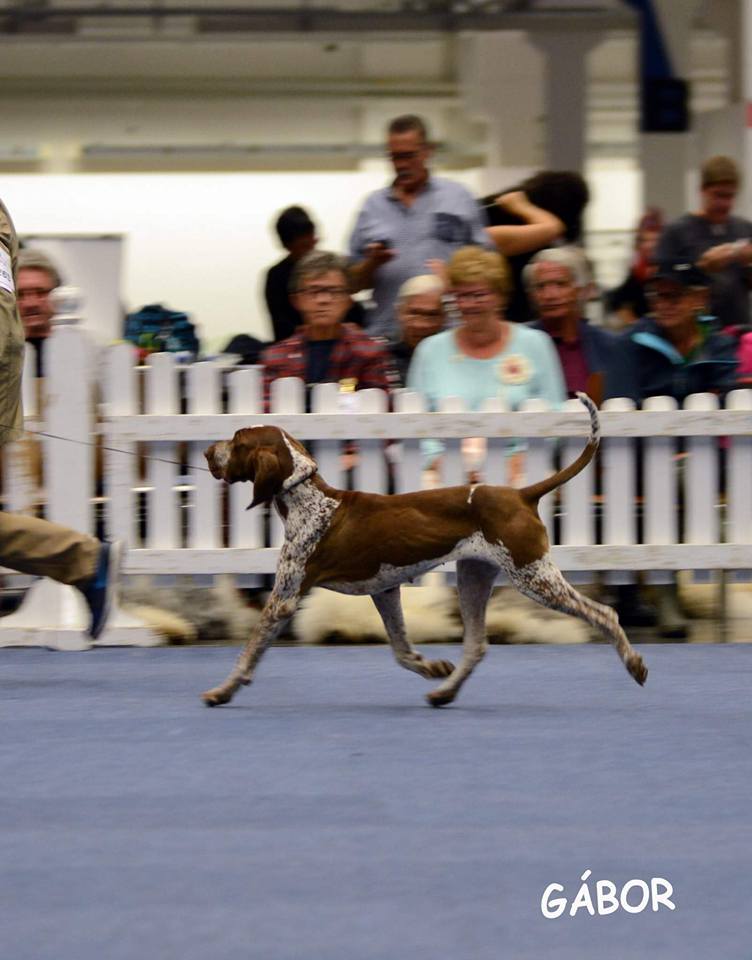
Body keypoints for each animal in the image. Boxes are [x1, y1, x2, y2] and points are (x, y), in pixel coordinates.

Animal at [204, 392, 648, 704]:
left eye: (236, 441)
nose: (208, 451)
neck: (309, 499)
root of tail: (522, 494)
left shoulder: (284, 599)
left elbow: (248, 652)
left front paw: (223, 690)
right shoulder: (385, 590)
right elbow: (401, 651)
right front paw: (431, 667)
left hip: (534, 578)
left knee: (604, 614)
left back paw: (634, 664)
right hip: (474, 579)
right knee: (477, 646)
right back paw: (445, 692)